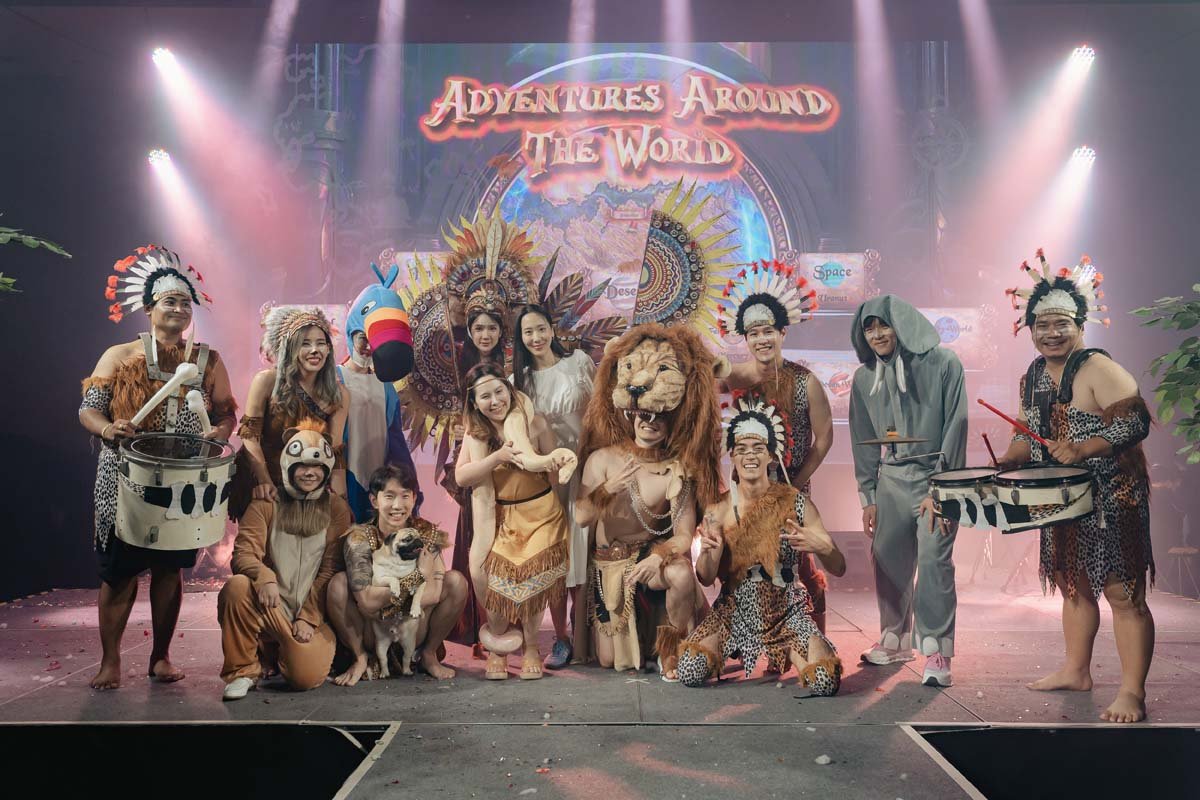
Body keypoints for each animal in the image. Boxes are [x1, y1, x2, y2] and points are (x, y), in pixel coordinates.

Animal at [370, 528, 426, 678]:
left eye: (420, 536)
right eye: (407, 539)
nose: (419, 541)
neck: (400, 564)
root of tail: (394, 636)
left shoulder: (422, 582)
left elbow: (417, 595)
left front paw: (415, 610)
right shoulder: (377, 580)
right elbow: (393, 578)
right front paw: (396, 589)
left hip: (409, 644)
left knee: (406, 658)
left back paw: (407, 671)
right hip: (380, 645)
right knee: (383, 660)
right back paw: (384, 673)